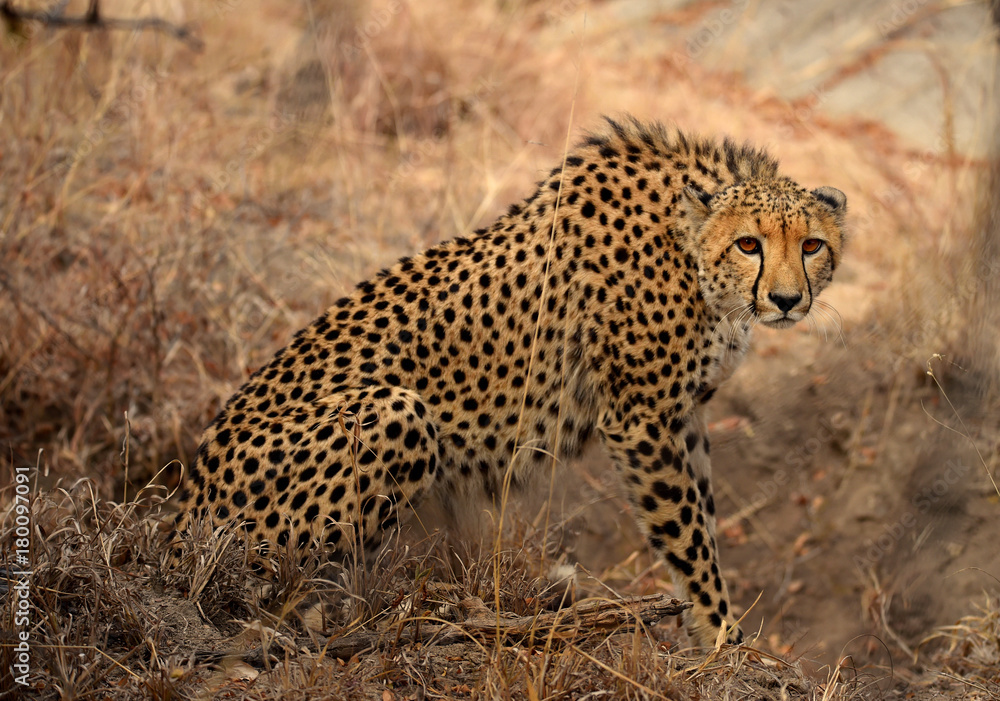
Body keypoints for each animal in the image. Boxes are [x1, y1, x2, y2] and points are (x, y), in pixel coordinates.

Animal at [170, 116, 847, 647]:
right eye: (749, 244)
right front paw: (723, 643)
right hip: (395, 412)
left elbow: (702, 520)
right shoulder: (641, 421)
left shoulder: (683, 417)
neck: (694, 257)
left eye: (813, 246)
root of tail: (179, 519)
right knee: (272, 591)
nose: (787, 300)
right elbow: (688, 538)